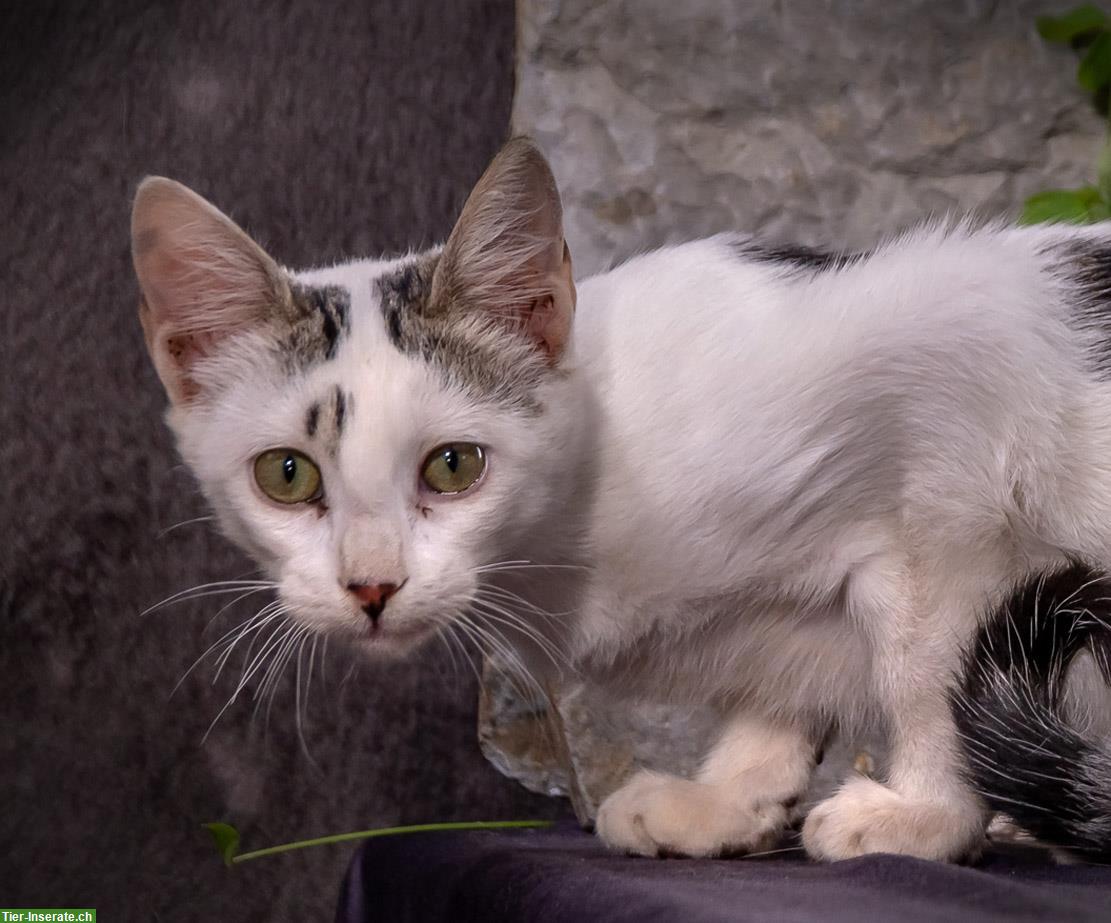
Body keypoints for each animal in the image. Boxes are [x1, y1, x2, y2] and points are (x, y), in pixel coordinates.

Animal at [132, 137, 1111, 866]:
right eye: (287, 474)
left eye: (453, 465)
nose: (371, 586)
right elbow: (779, 682)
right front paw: (730, 795)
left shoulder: (953, 425)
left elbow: (918, 667)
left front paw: (925, 818)